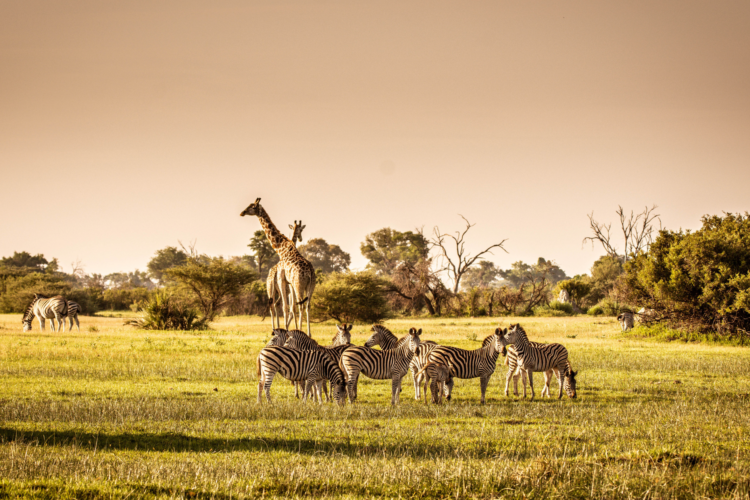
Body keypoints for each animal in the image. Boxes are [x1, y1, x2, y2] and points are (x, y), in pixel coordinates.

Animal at [241, 199, 318, 336]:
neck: (281, 249)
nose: (242, 212)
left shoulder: (282, 280)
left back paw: (295, 331)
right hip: (310, 286)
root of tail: (310, 271)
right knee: (306, 305)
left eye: (253, 206)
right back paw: (308, 334)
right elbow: (290, 307)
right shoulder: (289, 283)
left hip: (296, 285)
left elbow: (286, 307)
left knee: (297, 305)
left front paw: (287, 331)